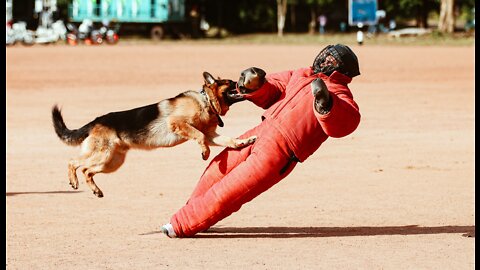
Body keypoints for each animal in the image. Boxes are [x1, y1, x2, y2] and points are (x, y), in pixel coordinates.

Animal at [52, 72, 256, 198]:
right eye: (230, 82)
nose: (241, 83)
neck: (205, 101)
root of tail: (95, 121)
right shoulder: (178, 123)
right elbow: (199, 136)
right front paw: (205, 153)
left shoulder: (211, 135)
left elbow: (228, 140)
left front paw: (244, 142)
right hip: (103, 154)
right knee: (74, 162)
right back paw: (73, 181)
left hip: (112, 162)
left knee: (87, 171)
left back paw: (96, 190)